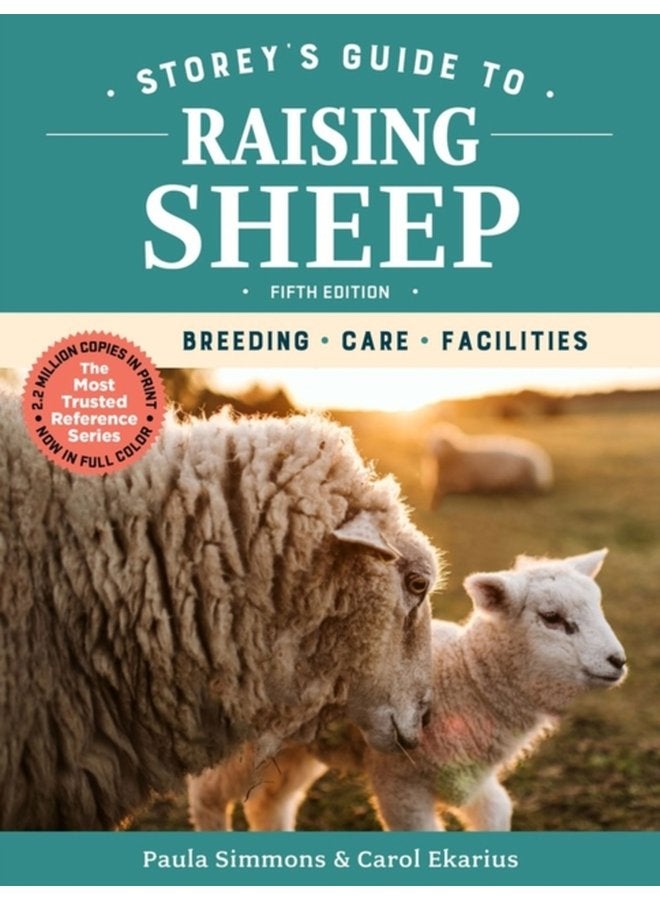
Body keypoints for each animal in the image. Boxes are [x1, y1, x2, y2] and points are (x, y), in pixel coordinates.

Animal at [189, 549, 626, 831]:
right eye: (551, 617)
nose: (617, 661)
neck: (463, 679)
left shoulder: (470, 778)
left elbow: (497, 813)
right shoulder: (399, 781)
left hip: (296, 748)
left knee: (268, 805)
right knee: (208, 794)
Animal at [424, 423, 553, 508]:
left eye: (440, 442)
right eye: (430, 441)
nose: (431, 451)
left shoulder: (461, 483)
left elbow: (443, 490)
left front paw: (433, 502)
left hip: (520, 481)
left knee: (523, 492)